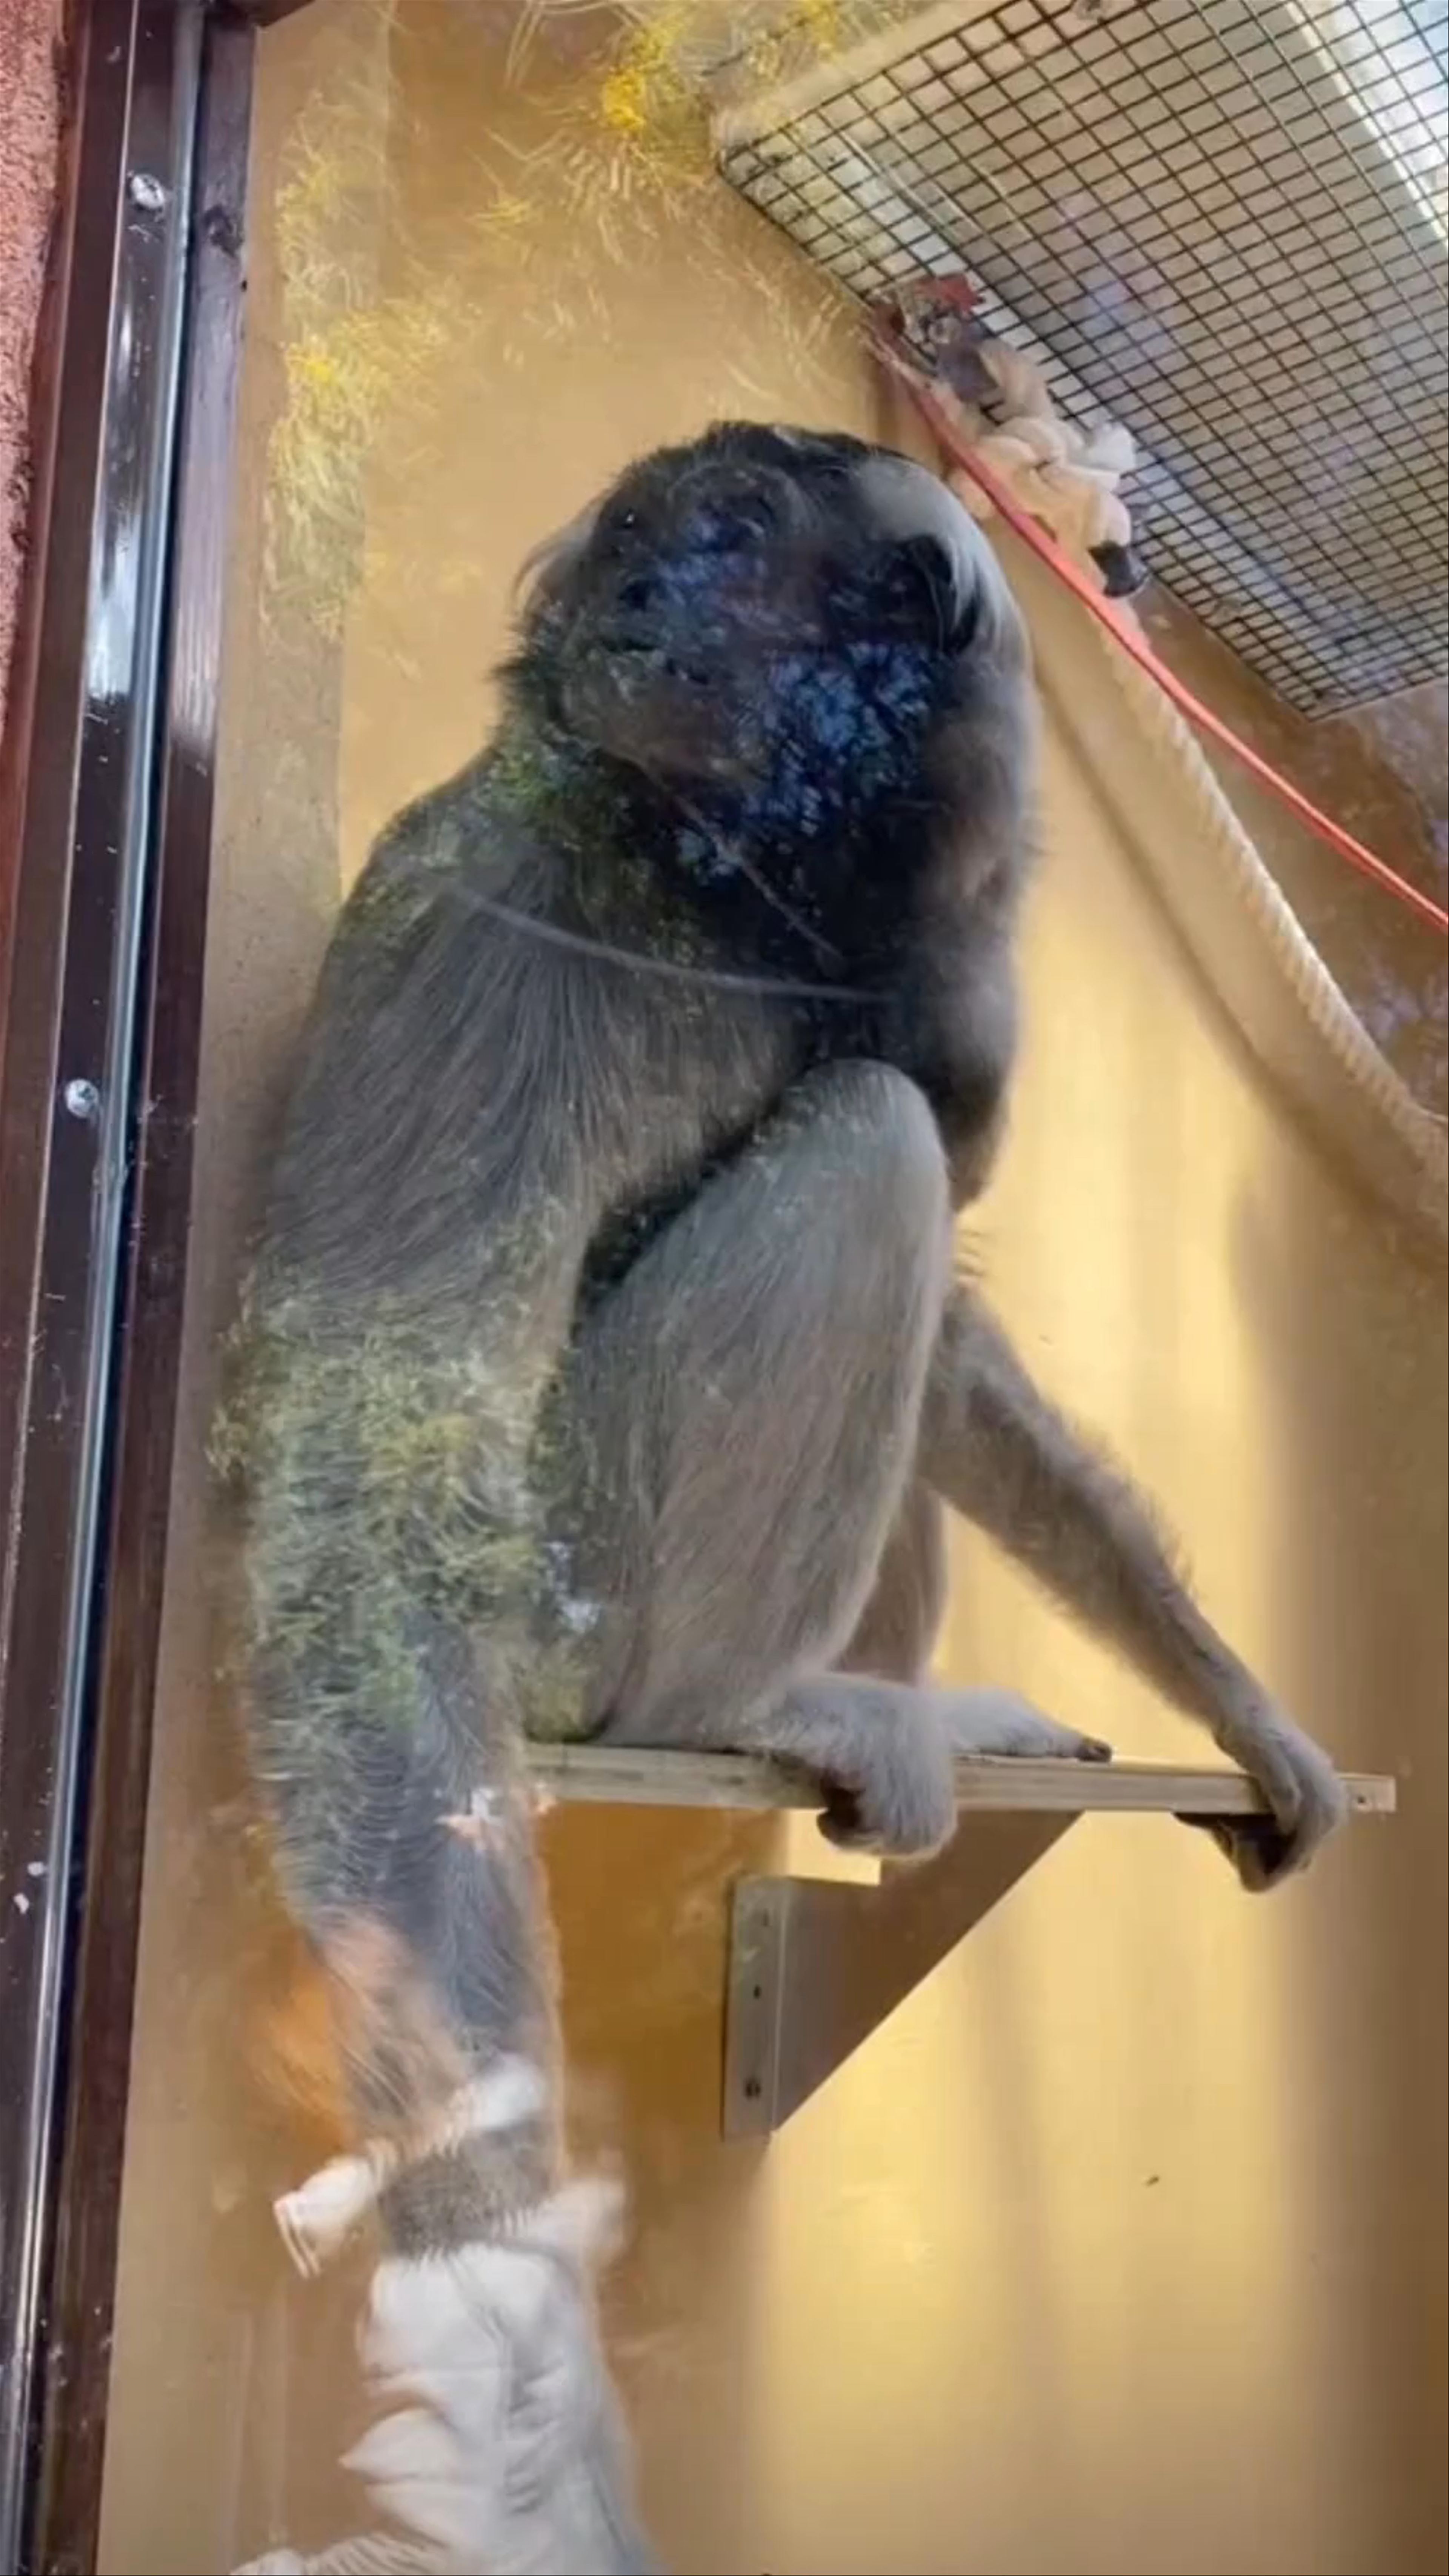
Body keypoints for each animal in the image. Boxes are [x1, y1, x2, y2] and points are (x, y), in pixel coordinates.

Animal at [223, 423, 1347, 2574]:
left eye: (721, 551)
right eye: (645, 556)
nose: (633, 604)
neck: (757, 896)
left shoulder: (941, 942)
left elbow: (969, 1349)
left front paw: (1243, 1706)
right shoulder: (509, 886)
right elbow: (365, 1472)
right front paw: (531, 2408)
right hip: (575, 1579)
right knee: (869, 1146)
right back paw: (747, 1702)